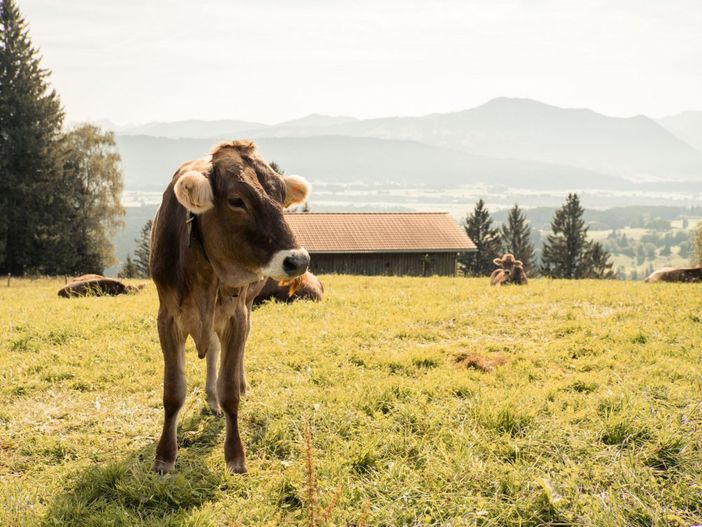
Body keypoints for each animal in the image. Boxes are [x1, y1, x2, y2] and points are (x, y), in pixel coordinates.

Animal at [151, 139, 310, 474]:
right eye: (237, 200)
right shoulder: (167, 317)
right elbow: (173, 391)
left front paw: (236, 456)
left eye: (280, 196)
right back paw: (210, 400)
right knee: (212, 348)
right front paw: (164, 457)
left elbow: (229, 391)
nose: (298, 260)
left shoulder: (237, 317)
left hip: (244, 307)